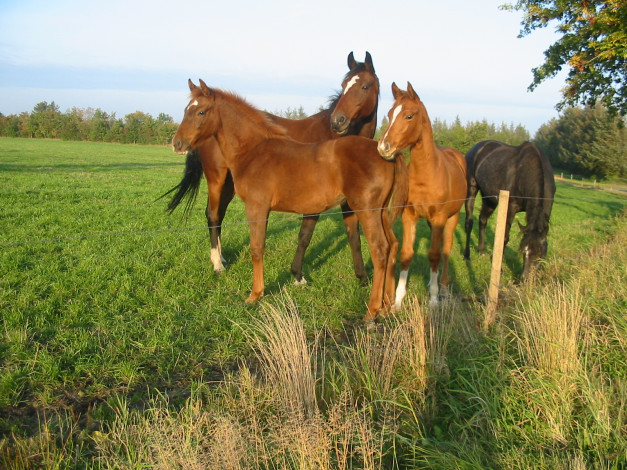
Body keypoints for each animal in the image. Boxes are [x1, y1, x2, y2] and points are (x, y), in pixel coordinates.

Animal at [162, 52, 378, 286]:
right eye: (344, 85)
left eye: (365, 86)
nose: (338, 121)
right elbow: (305, 236)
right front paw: (298, 276)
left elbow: (353, 237)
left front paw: (362, 277)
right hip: (216, 179)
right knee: (212, 215)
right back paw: (217, 264)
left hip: (229, 184)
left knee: (219, 214)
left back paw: (221, 257)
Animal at [172, 81, 408, 322]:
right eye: (186, 110)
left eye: (201, 112)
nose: (177, 143)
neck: (253, 151)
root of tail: (385, 152)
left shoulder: (257, 207)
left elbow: (257, 248)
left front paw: (255, 295)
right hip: (380, 211)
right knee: (392, 245)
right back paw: (386, 306)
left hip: (367, 210)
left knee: (380, 249)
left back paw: (372, 312)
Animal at [378, 81, 466, 308]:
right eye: (390, 113)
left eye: (409, 115)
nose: (383, 147)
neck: (427, 175)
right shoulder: (410, 215)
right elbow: (407, 254)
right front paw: (398, 300)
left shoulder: (439, 218)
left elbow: (434, 255)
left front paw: (433, 300)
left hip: (453, 218)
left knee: (446, 249)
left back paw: (443, 288)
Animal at [464, 140, 556, 280]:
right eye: (524, 251)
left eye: (542, 255)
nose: (526, 280)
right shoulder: (510, 208)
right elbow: (504, 238)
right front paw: (499, 270)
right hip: (472, 188)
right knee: (469, 223)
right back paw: (467, 256)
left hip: (489, 198)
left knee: (483, 220)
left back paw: (481, 251)